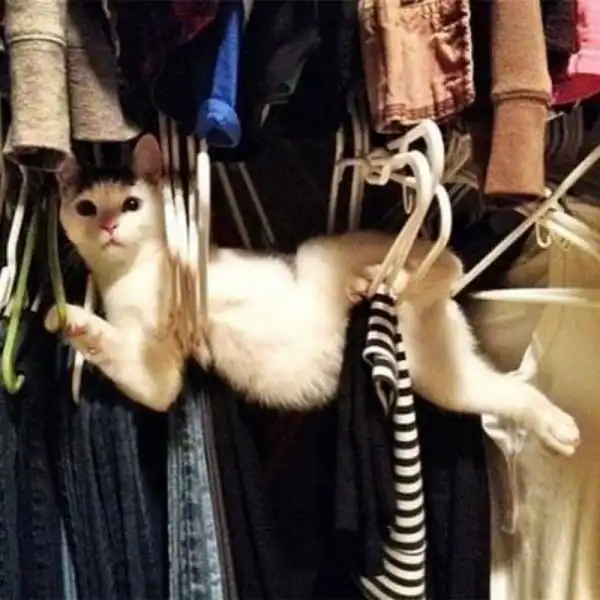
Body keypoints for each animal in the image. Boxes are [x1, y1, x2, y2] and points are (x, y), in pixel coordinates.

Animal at [44, 133, 581, 457]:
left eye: (132, 203)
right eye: (86, 207)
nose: (109, 226)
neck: (131, 271)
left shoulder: (200, 261)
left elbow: (186, 268)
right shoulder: (154, 371)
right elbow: (149, 381)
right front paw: (71, 320)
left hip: (325, 250)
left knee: (445, 259)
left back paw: (383, 278)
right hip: (444, 378)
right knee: (506, 389)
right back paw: (559, 429)